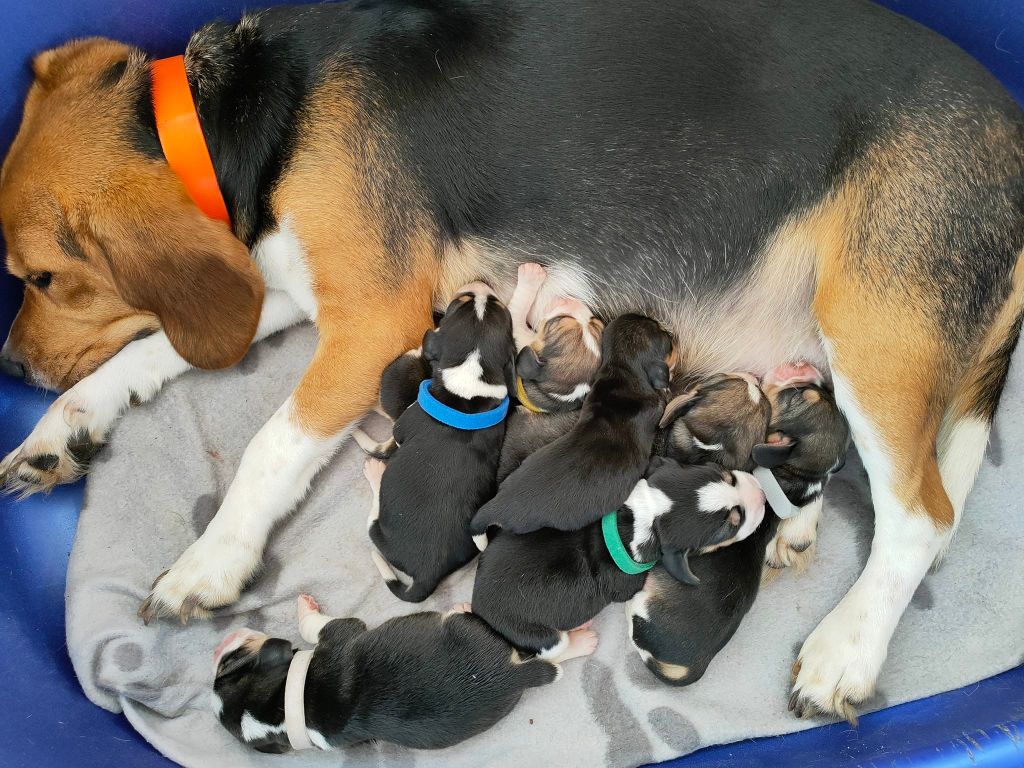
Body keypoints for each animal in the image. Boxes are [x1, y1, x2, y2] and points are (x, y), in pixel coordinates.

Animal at [208, 593, 598, 753]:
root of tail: (509, 677)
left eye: (227, 669)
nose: (216, 648)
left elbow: (312, 625)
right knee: (547, 657)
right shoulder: (341, 632)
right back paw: (583, 640)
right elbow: (314, 626)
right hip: (467, 630)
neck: (288, 709)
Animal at [364, 282, 516, 602]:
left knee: (372, 517)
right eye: (499, 309)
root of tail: (427, 574)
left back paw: (375, 472)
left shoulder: (403, 426)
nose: (482, 287)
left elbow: (396, 432)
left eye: (458, 303)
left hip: (379, 529)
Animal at [468, 460, 765, 659]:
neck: (641, 520)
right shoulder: (629, 586)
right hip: (535, 634)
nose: (762, 496)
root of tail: (478, 607)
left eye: (726, 474)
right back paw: (582, 640)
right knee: (554, 651)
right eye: (731, 524)